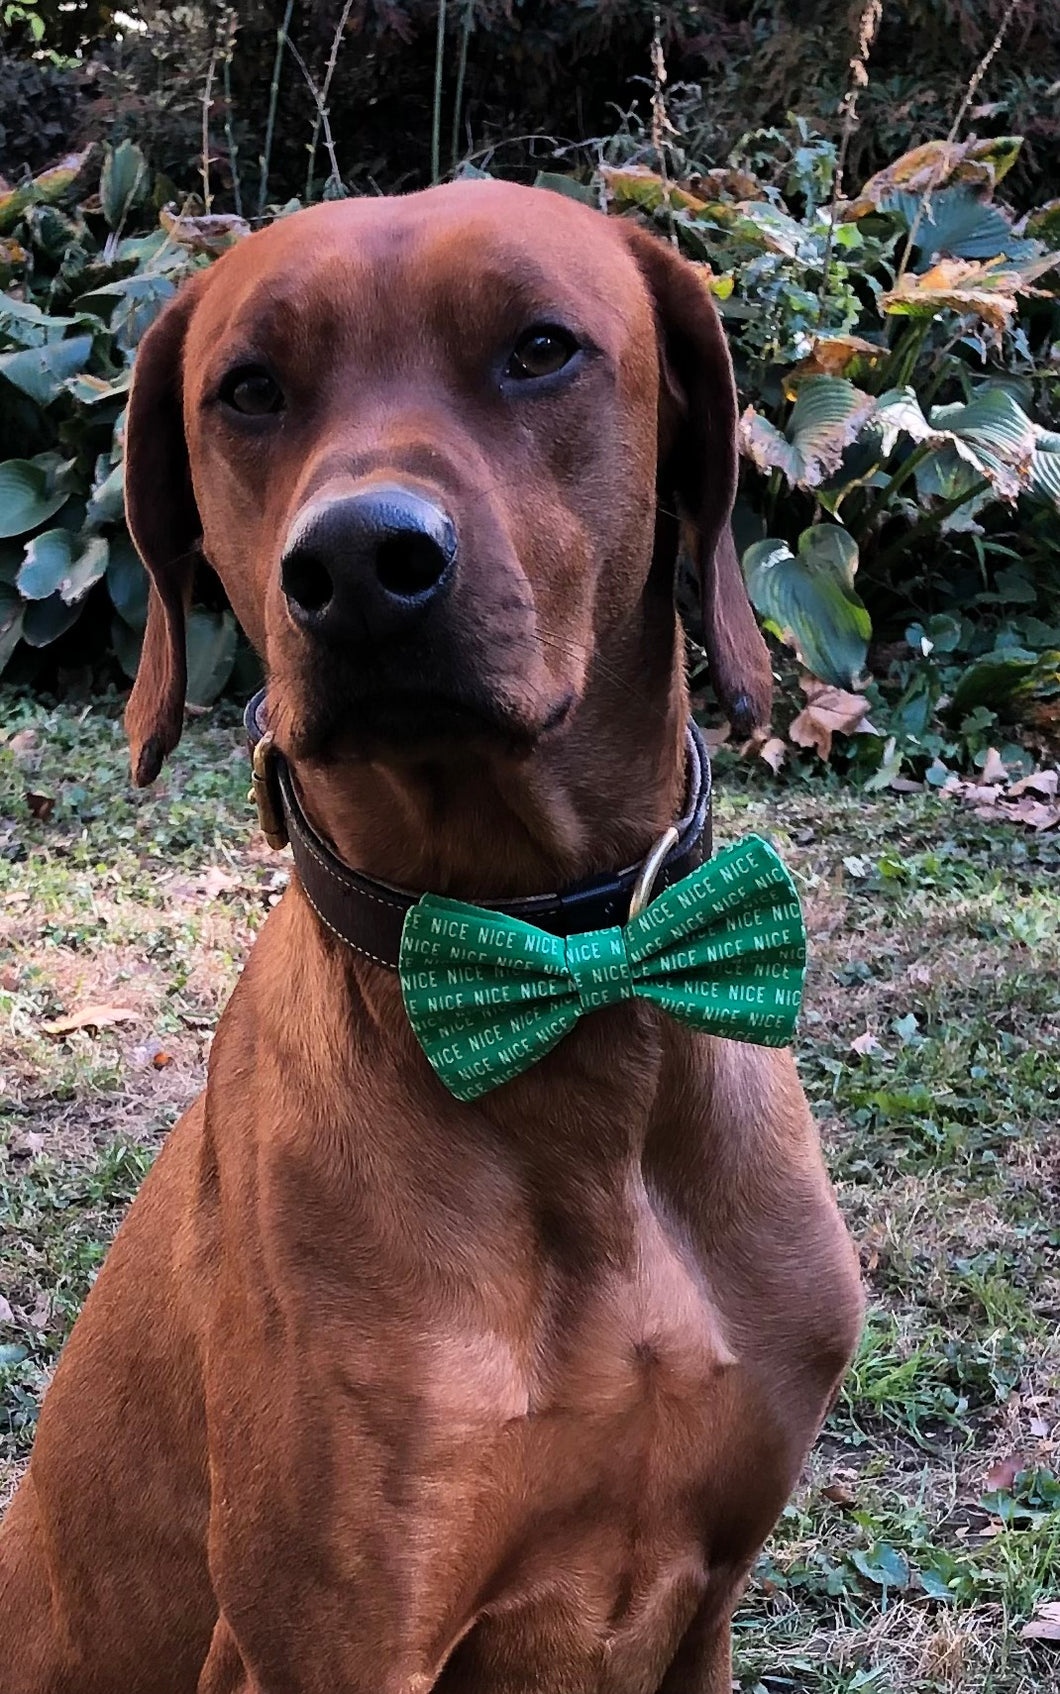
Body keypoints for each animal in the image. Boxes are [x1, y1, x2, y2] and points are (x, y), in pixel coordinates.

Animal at [0, 182, 860, 1694]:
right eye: (250, 388)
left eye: (539, 347)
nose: (356, 562)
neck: (545, 974)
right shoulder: (327, 1634)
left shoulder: (708, 1606)